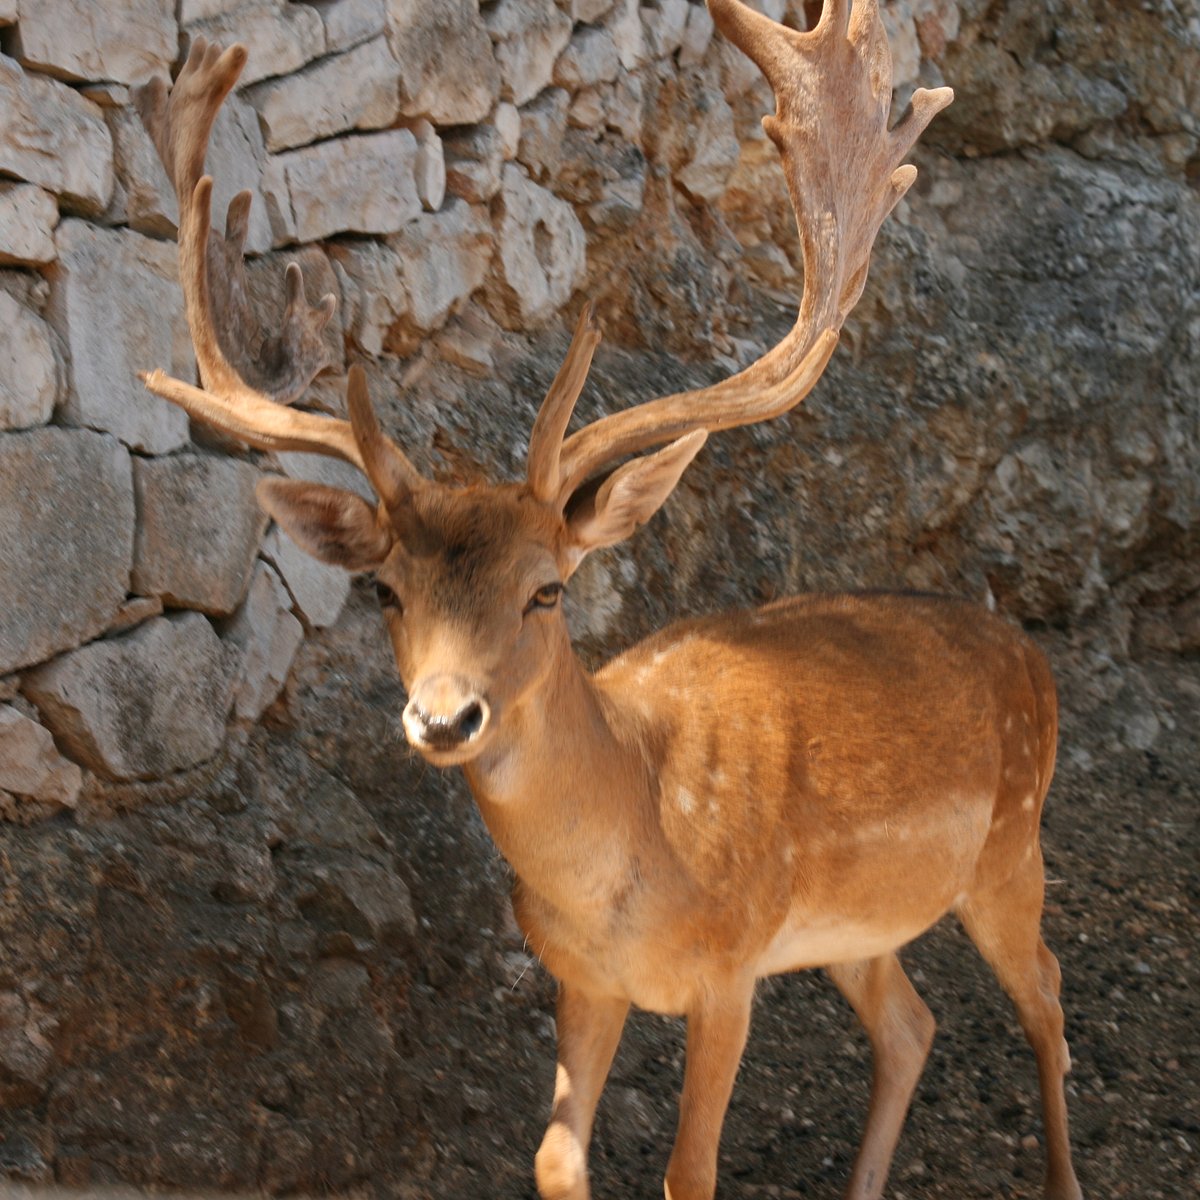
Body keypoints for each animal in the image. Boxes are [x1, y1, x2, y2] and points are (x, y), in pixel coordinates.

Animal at [136, 2, 1084, 1200]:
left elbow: (691, 1171)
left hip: (1011, 848)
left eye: (548, 589)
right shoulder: (581, 979)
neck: (635, 851)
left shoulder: (730, 971)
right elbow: (554, 1157)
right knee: (912, 1025)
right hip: (862, 928)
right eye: (385, 589)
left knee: (1048, 993)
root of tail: (1028, 650)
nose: (445, 716)